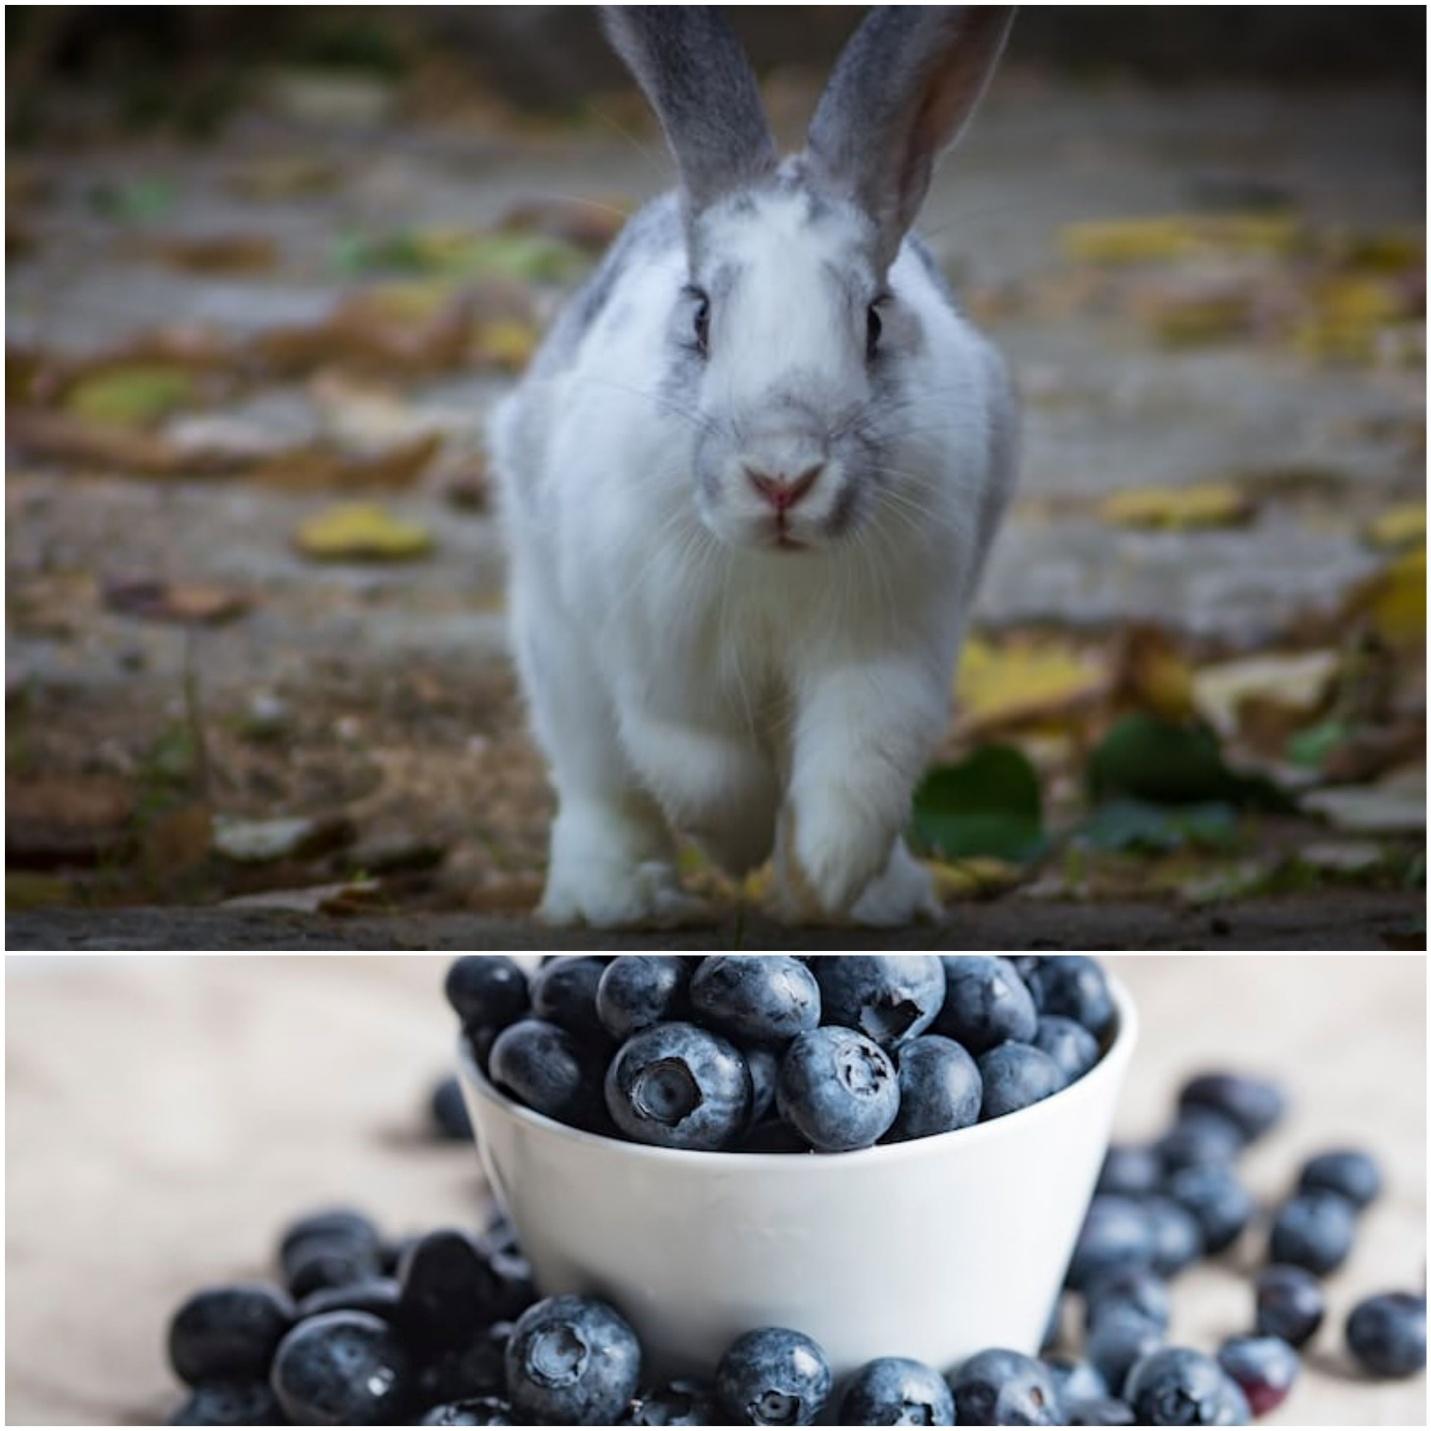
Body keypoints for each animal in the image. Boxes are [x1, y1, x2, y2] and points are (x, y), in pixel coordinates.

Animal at [490, 6, 1019, 927]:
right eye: (700, 316)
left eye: (874, 320)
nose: (781, 478)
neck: (777, 565)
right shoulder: (661, 666)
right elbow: (705, 771)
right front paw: (734, 853)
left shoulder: (887, 656)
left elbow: (856, 776)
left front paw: (827, 878)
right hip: (557, 652)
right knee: (601, 788)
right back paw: (610, 901)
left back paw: (888, 900)